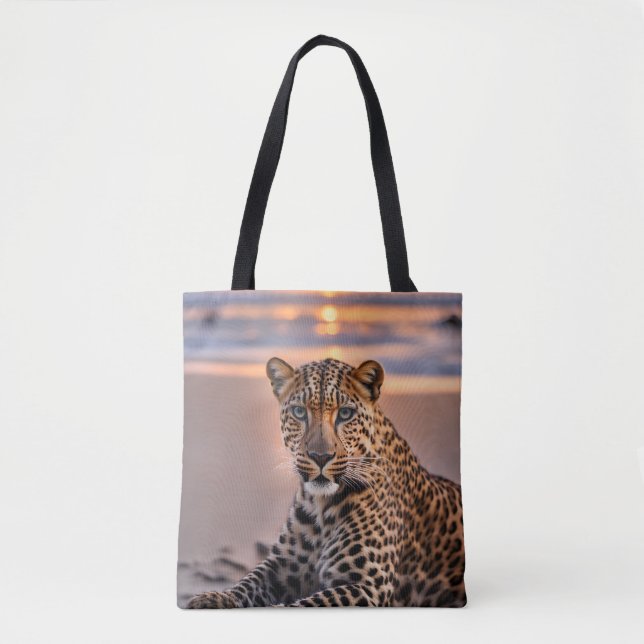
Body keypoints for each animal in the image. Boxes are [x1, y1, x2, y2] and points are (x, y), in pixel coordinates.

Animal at [187, 357, 466, 608]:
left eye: (345, 414)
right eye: (299, 412)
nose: (320, 456)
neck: (321, 506)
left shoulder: (368, 586)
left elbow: (300, 606)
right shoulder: (279, 567)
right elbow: (247, 582)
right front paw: (212, 598)